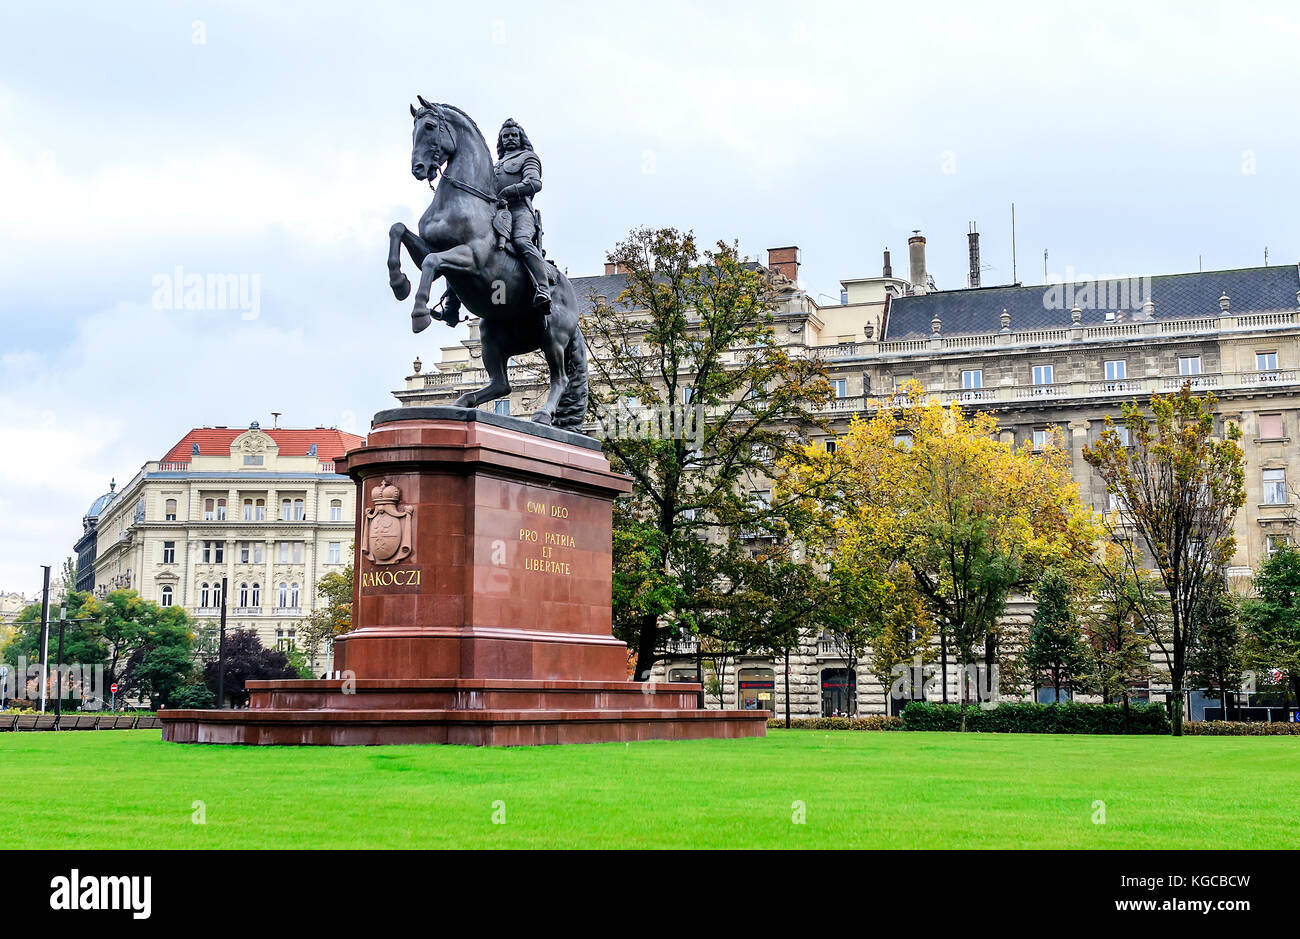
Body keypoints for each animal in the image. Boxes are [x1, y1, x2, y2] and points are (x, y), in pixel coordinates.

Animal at [384, 97, 590, 429]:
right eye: (413, 130)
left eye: (430, 126)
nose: (419, 168)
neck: (463, 199)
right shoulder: (432, 248)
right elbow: (399, 230)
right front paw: (399, 284)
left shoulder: (472, 259)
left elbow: (431, 262)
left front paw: (419, 314)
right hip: (492, 334)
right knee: (501, 384)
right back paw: (461, 402)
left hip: (553, 336)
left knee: (559, 377)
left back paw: (542, 415)